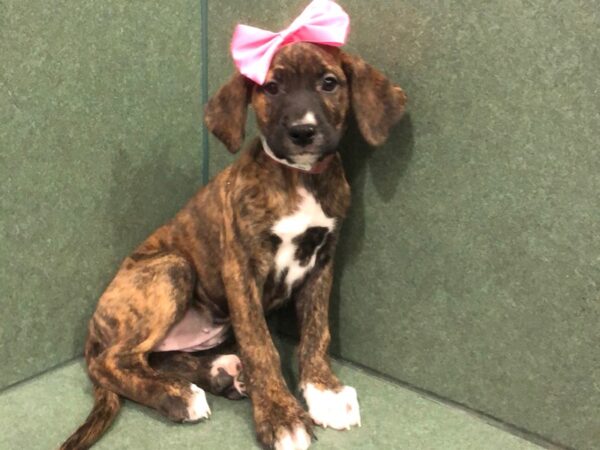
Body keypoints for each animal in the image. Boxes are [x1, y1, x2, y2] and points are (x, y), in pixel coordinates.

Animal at [61, 42, 406, 450]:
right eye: (271, 87)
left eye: (329, 83)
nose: (302, 131)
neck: (299, 177)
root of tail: (93, 325)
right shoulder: (241, 271)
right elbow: (261, 346)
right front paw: (280, 415)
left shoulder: (322, 264)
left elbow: (316, 332)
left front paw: (324, 391)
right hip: (173, 268)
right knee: (111, 362)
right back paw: (177, 395)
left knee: (148, 358)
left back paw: (220, 372)